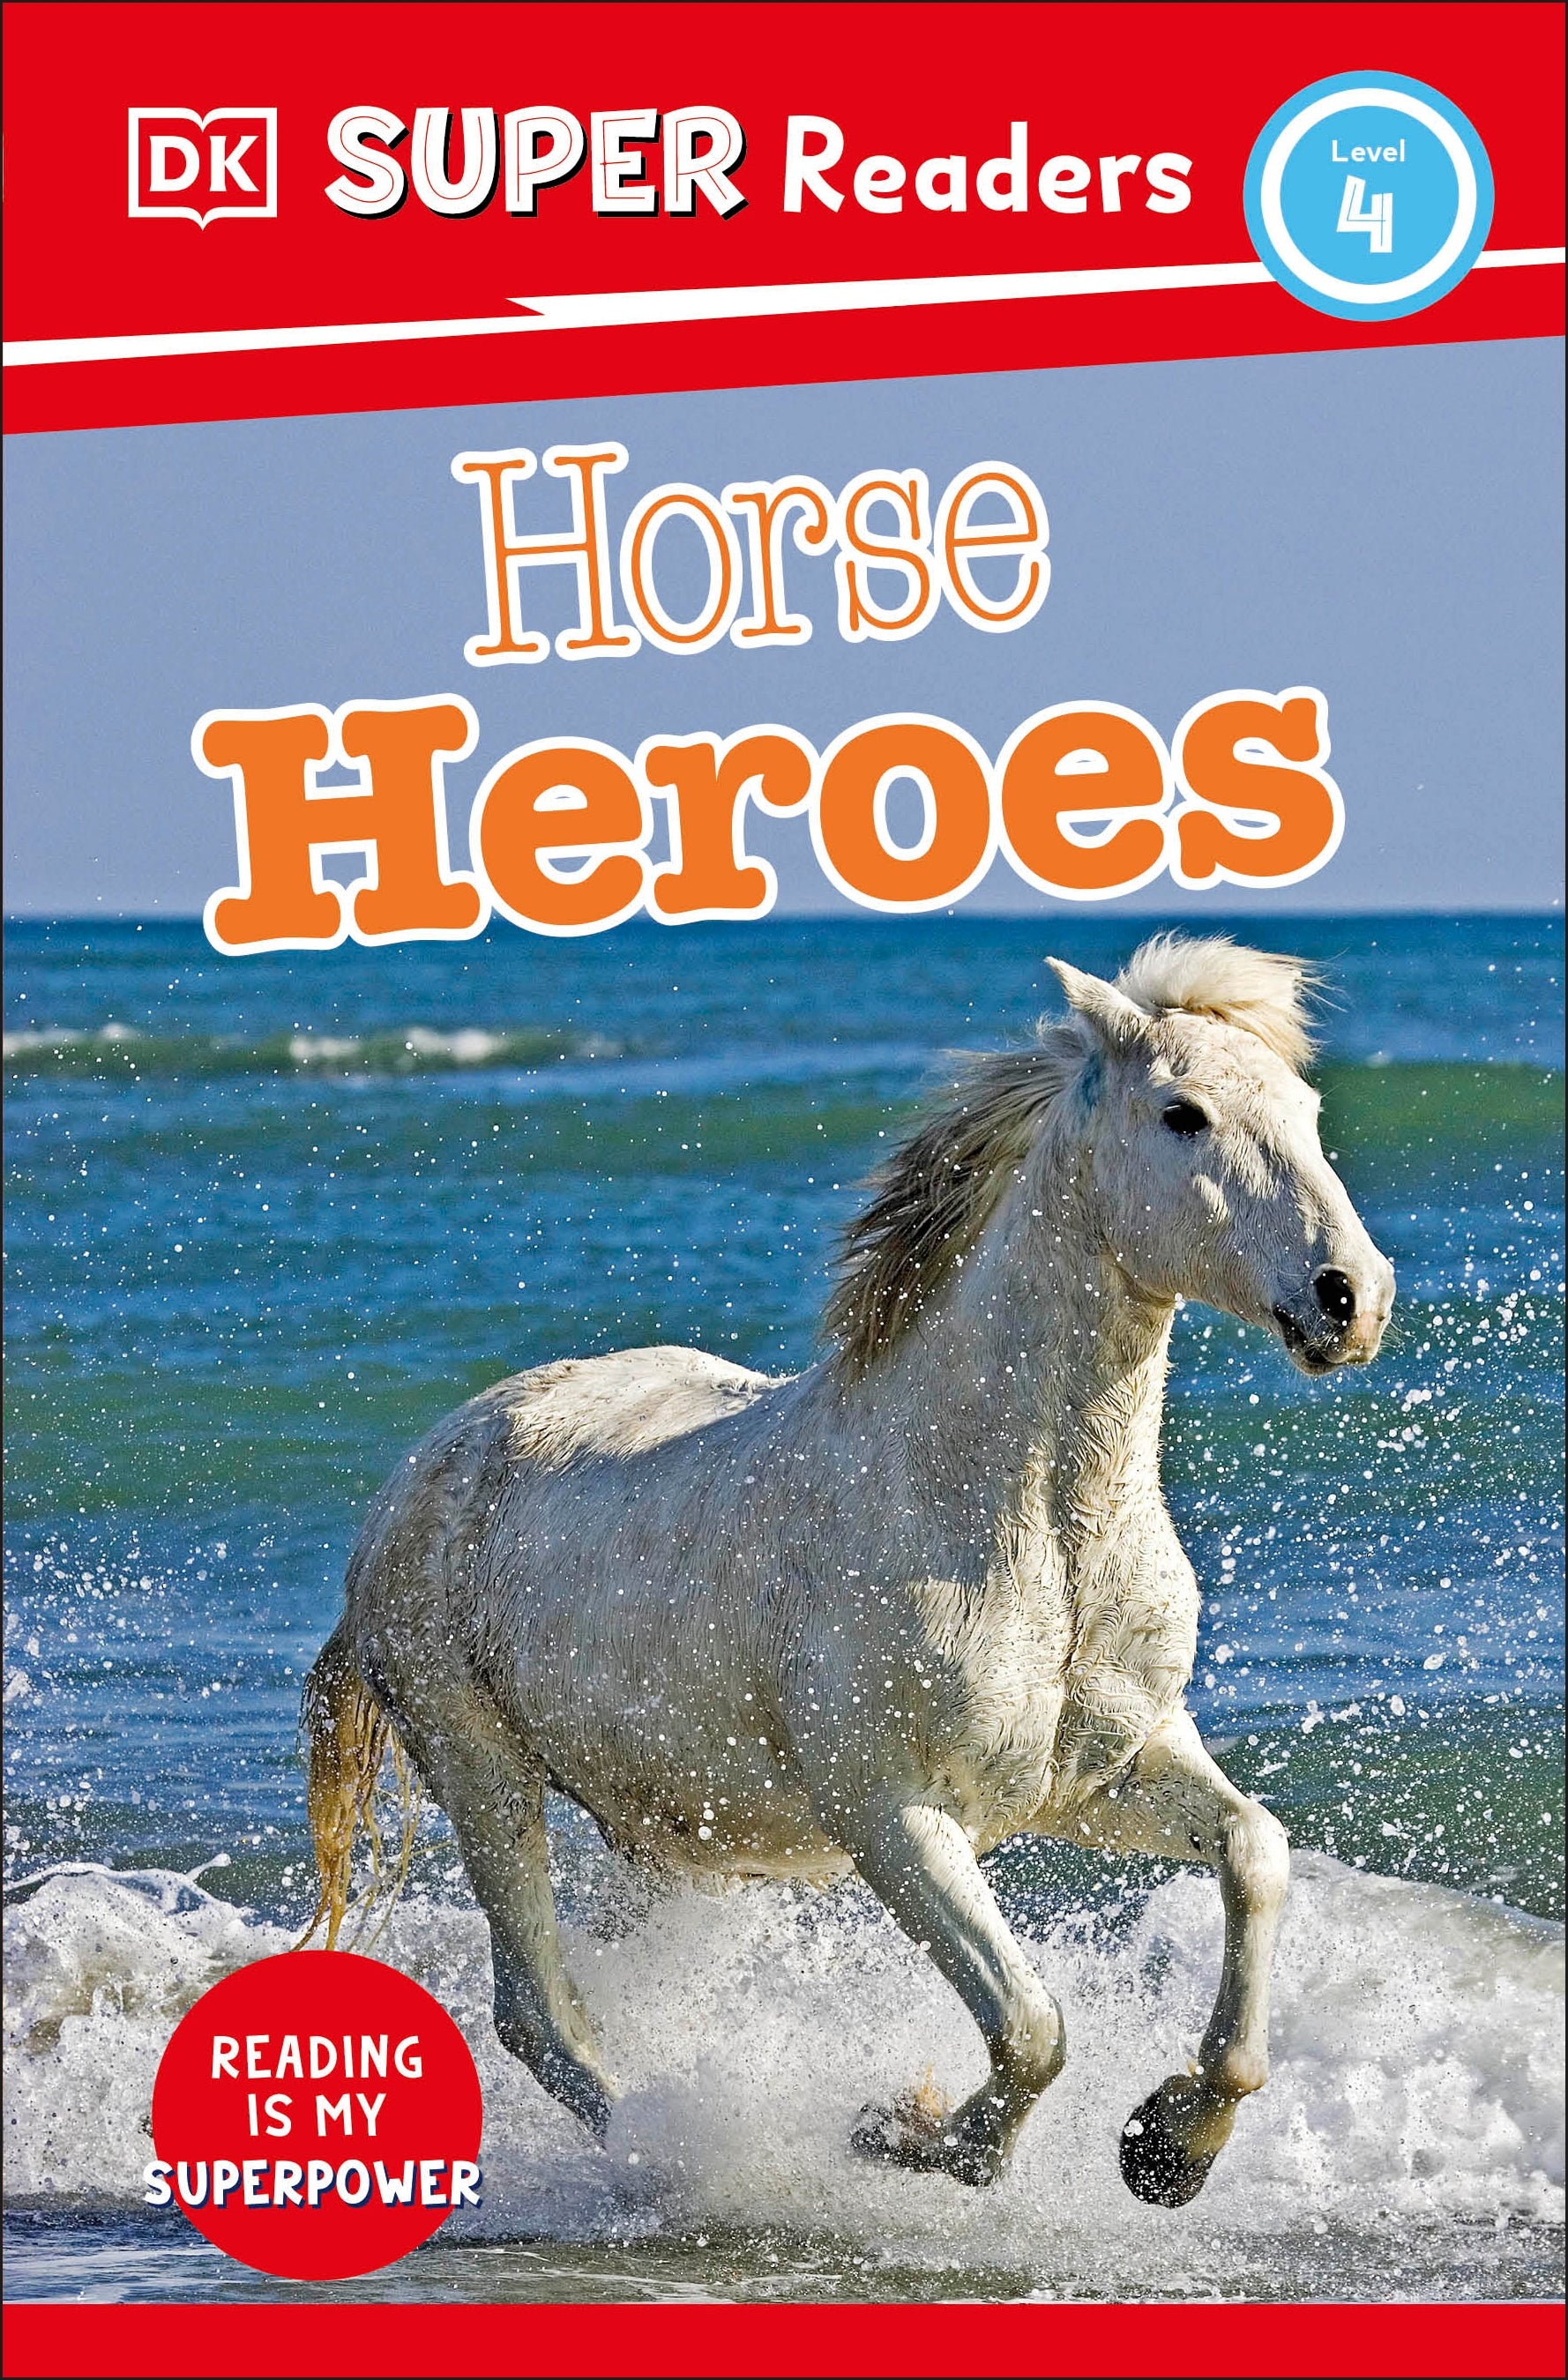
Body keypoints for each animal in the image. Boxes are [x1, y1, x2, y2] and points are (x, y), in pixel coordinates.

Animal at [303, 934, 1393, 2204]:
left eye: (1305, 1111)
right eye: (1182, 1113)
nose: (1347, 1296)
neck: (1027, 1531)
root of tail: (415, 1474)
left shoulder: (1101, 1776)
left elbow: (1253, 1851)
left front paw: (1172, 2142)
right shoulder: (892, 1817)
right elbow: (1030, 2024)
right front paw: (911, 2134)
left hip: (663, 1826)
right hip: (480, 1771)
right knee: (540, 2013)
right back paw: (672, 2157)